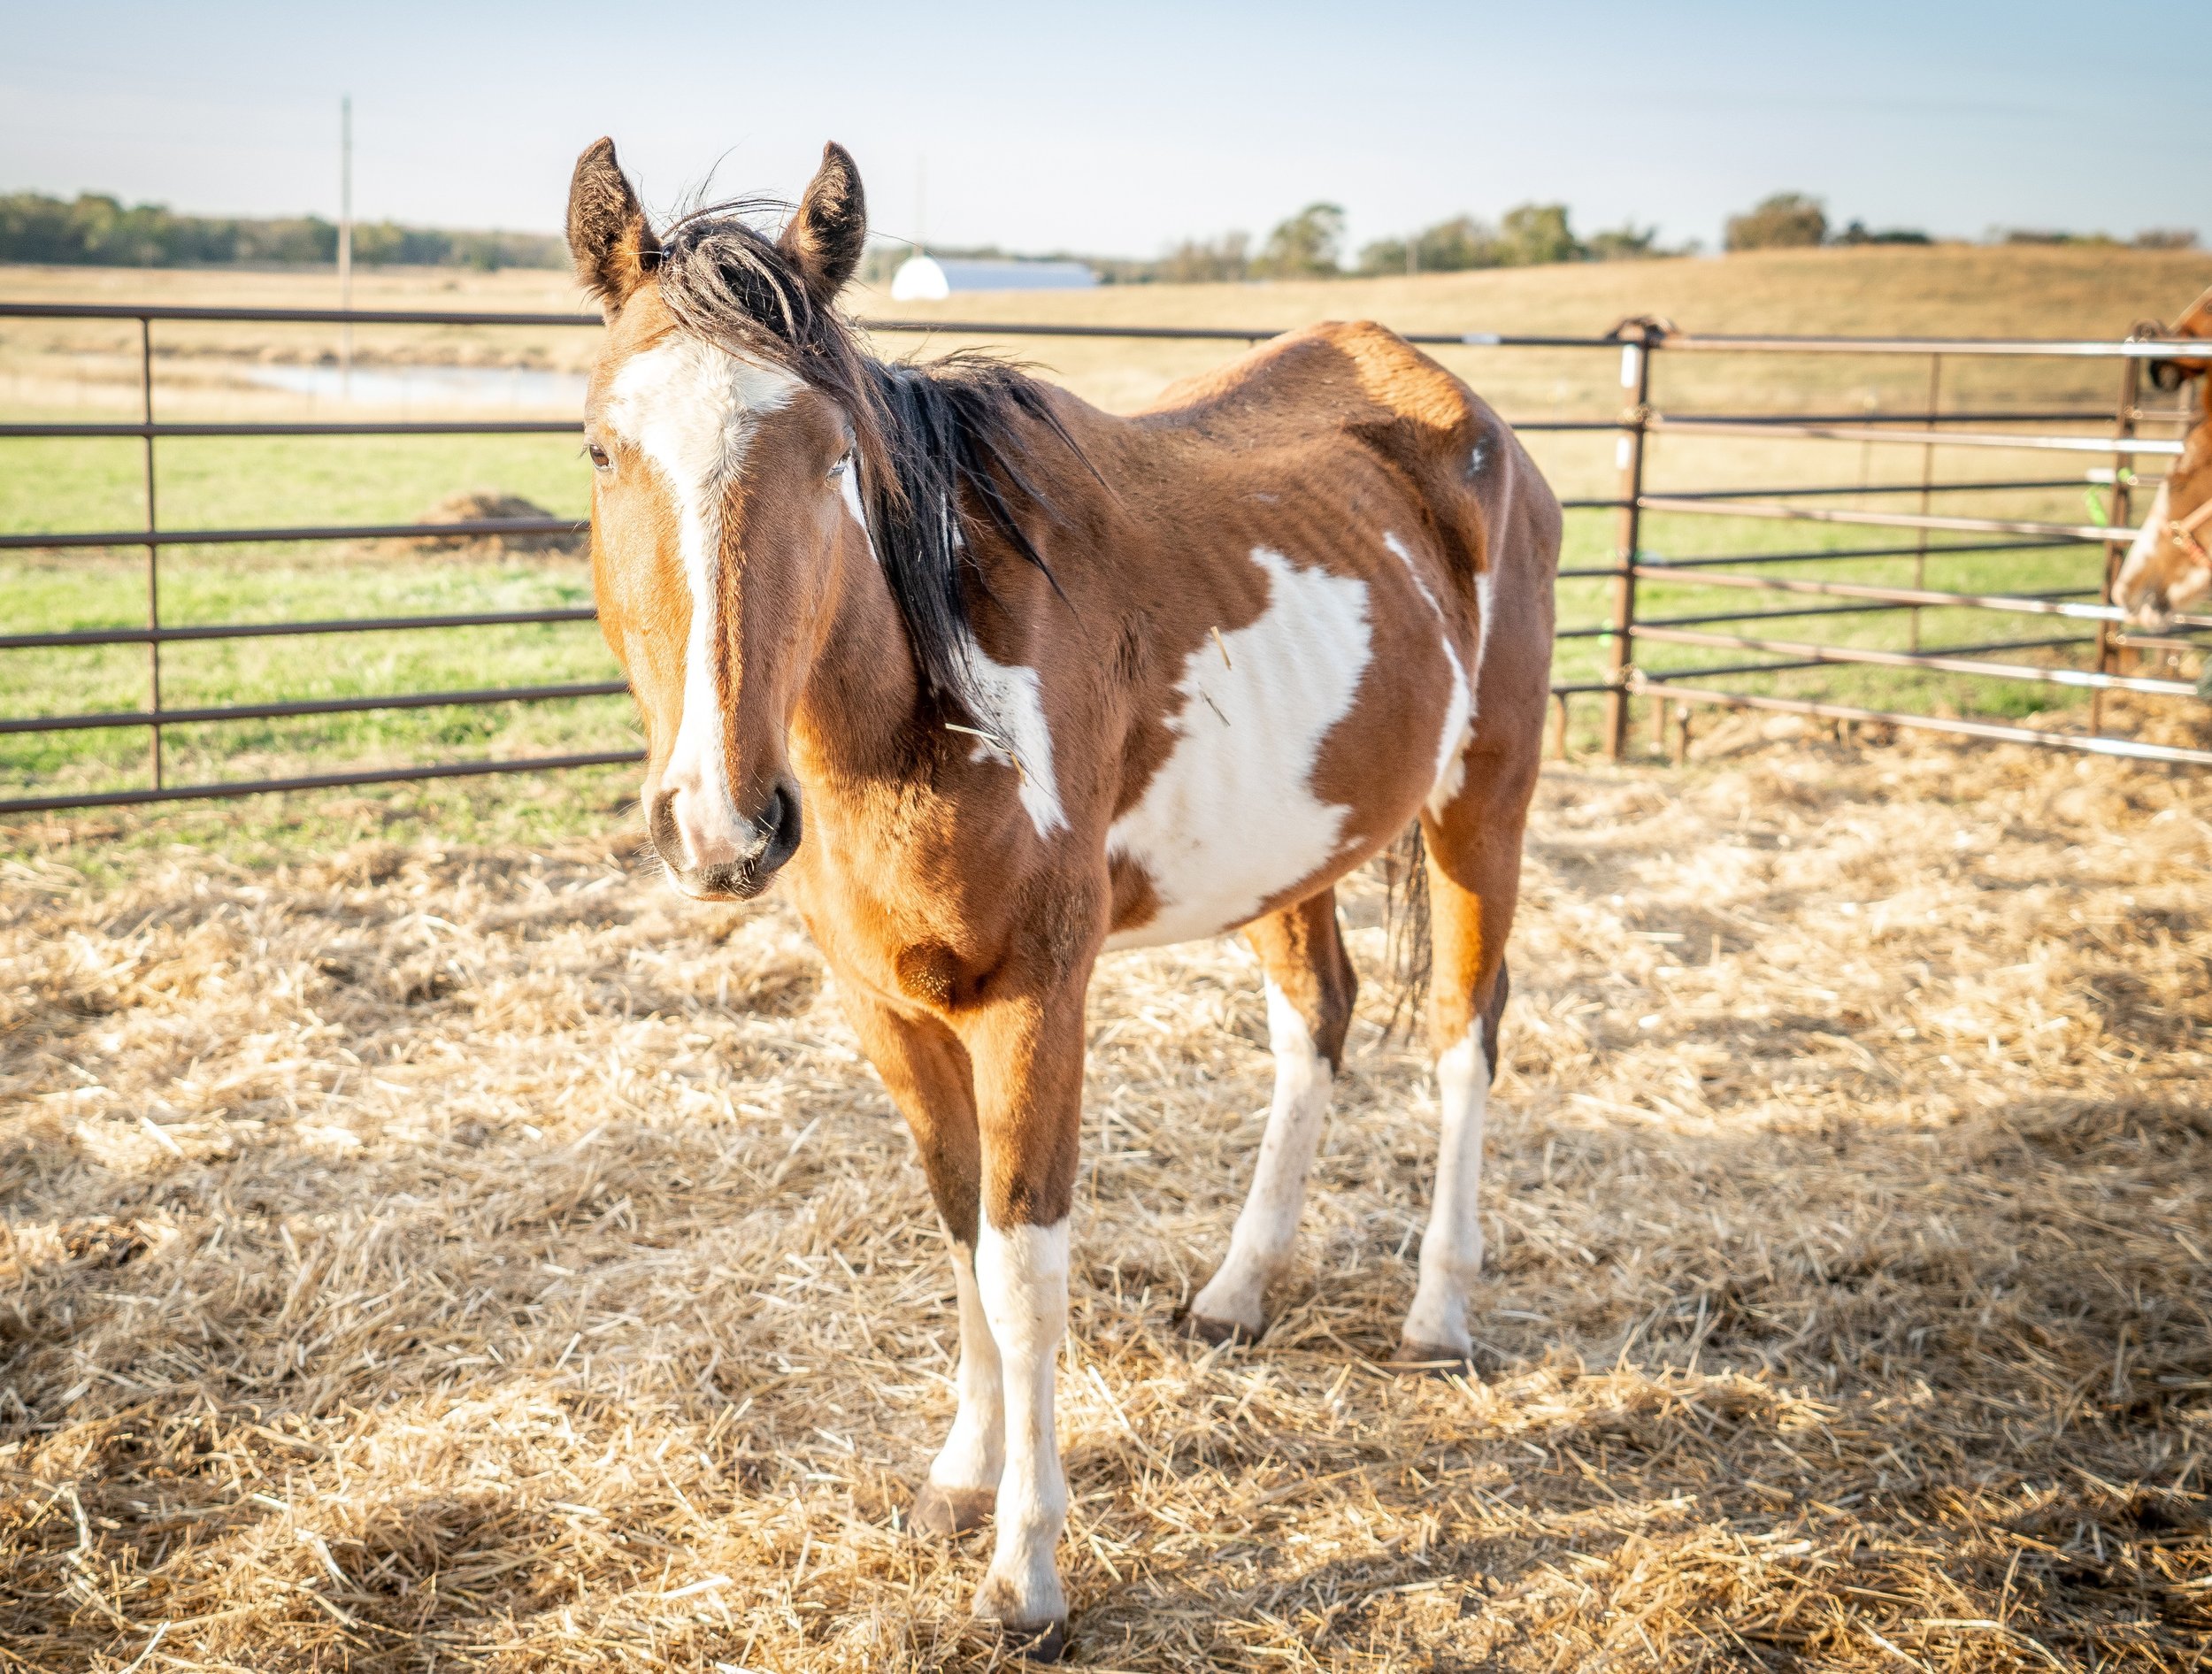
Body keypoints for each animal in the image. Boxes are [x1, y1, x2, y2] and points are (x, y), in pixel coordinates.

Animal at [565, 136, 1561, 1657]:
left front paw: (1025, 1568)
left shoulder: (1036, 1002)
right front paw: (961, 1478)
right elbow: (962, 1235)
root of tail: (1463, 412)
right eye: (603, 447)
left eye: (834, 452)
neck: (920, 709)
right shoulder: (889, 1012)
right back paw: (1237, 1292)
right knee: (1316, 1023)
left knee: (1465, 1032)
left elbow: (1025, 1269)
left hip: (1481, 806)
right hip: (1297, 843)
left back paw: (1439, 1312)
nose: (722, 823)